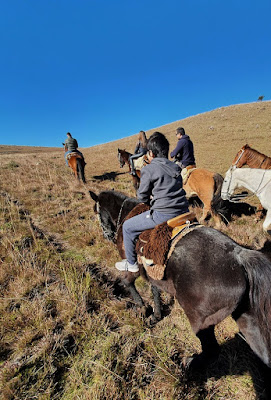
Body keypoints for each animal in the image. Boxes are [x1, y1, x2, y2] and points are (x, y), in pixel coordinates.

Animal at [90, 190, 271, 372]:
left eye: (97, 212)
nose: (107, 235)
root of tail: (240, 256)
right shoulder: (154, 275)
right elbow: (154, 290)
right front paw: (156, 314)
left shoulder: (132, 266)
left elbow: (128, 282)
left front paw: (143, 309)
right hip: (247, 320)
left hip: (201, 321)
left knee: (211, 350)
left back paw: (189, 363)